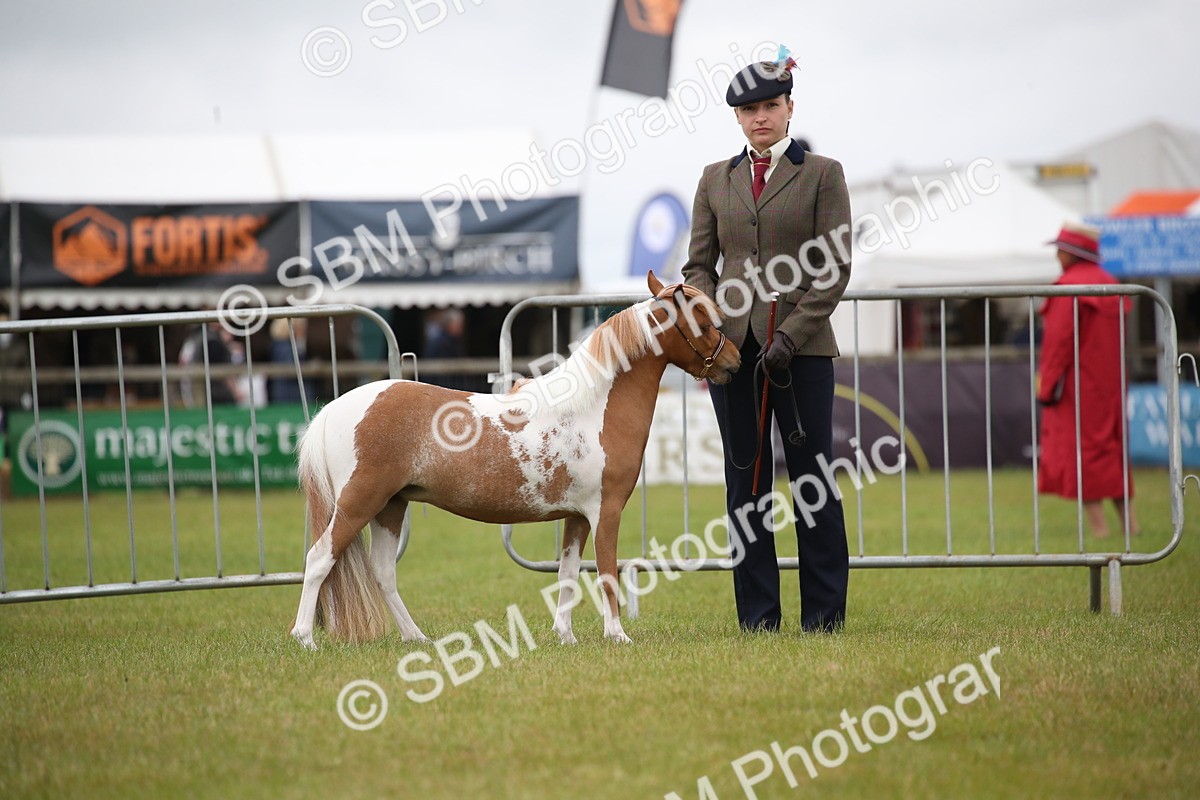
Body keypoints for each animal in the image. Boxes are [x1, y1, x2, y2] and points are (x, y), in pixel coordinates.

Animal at [289, 271, 740, 649]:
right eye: (701, 320)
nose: (734, 361)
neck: (592, 408)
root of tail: (334, 409)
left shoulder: (576, 516)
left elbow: (568, 575)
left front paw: (565, 637)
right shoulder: (606, 511)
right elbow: (608, 572)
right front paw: (618, 636)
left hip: (391, 507)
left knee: (383, 573)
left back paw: (416, 638)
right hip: (359, 502)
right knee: (319, 559)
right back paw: (305, 638)